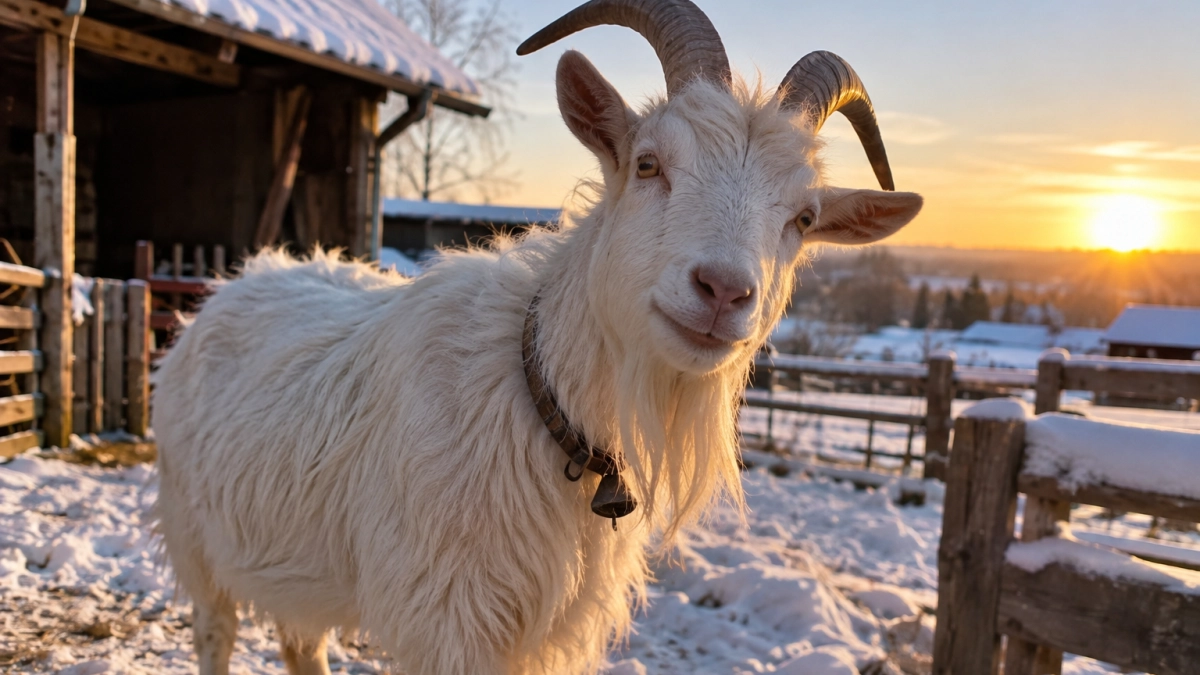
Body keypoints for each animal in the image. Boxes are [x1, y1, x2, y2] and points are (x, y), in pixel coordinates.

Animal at [151, 1, 923, 673]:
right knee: (215, 631)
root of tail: (240, 280)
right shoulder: (448, 622)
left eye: (803, 217)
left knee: (300, 644)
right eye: (648, 163)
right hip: (195, 536)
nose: (724, 291)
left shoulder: (552, 633)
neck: (541, 405)